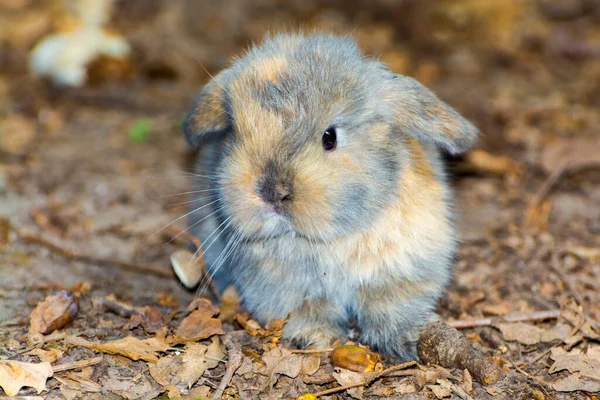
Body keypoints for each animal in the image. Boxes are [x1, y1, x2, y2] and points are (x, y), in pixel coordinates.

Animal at [183, 32, 478, 360]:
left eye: (330, 137)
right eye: (234, 132)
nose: (272, 192)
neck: (331, 238)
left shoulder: (402, 270)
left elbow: (391, 307)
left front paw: (405, 339)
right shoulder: (287, 290)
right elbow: (306, 312)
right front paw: (320, 338)